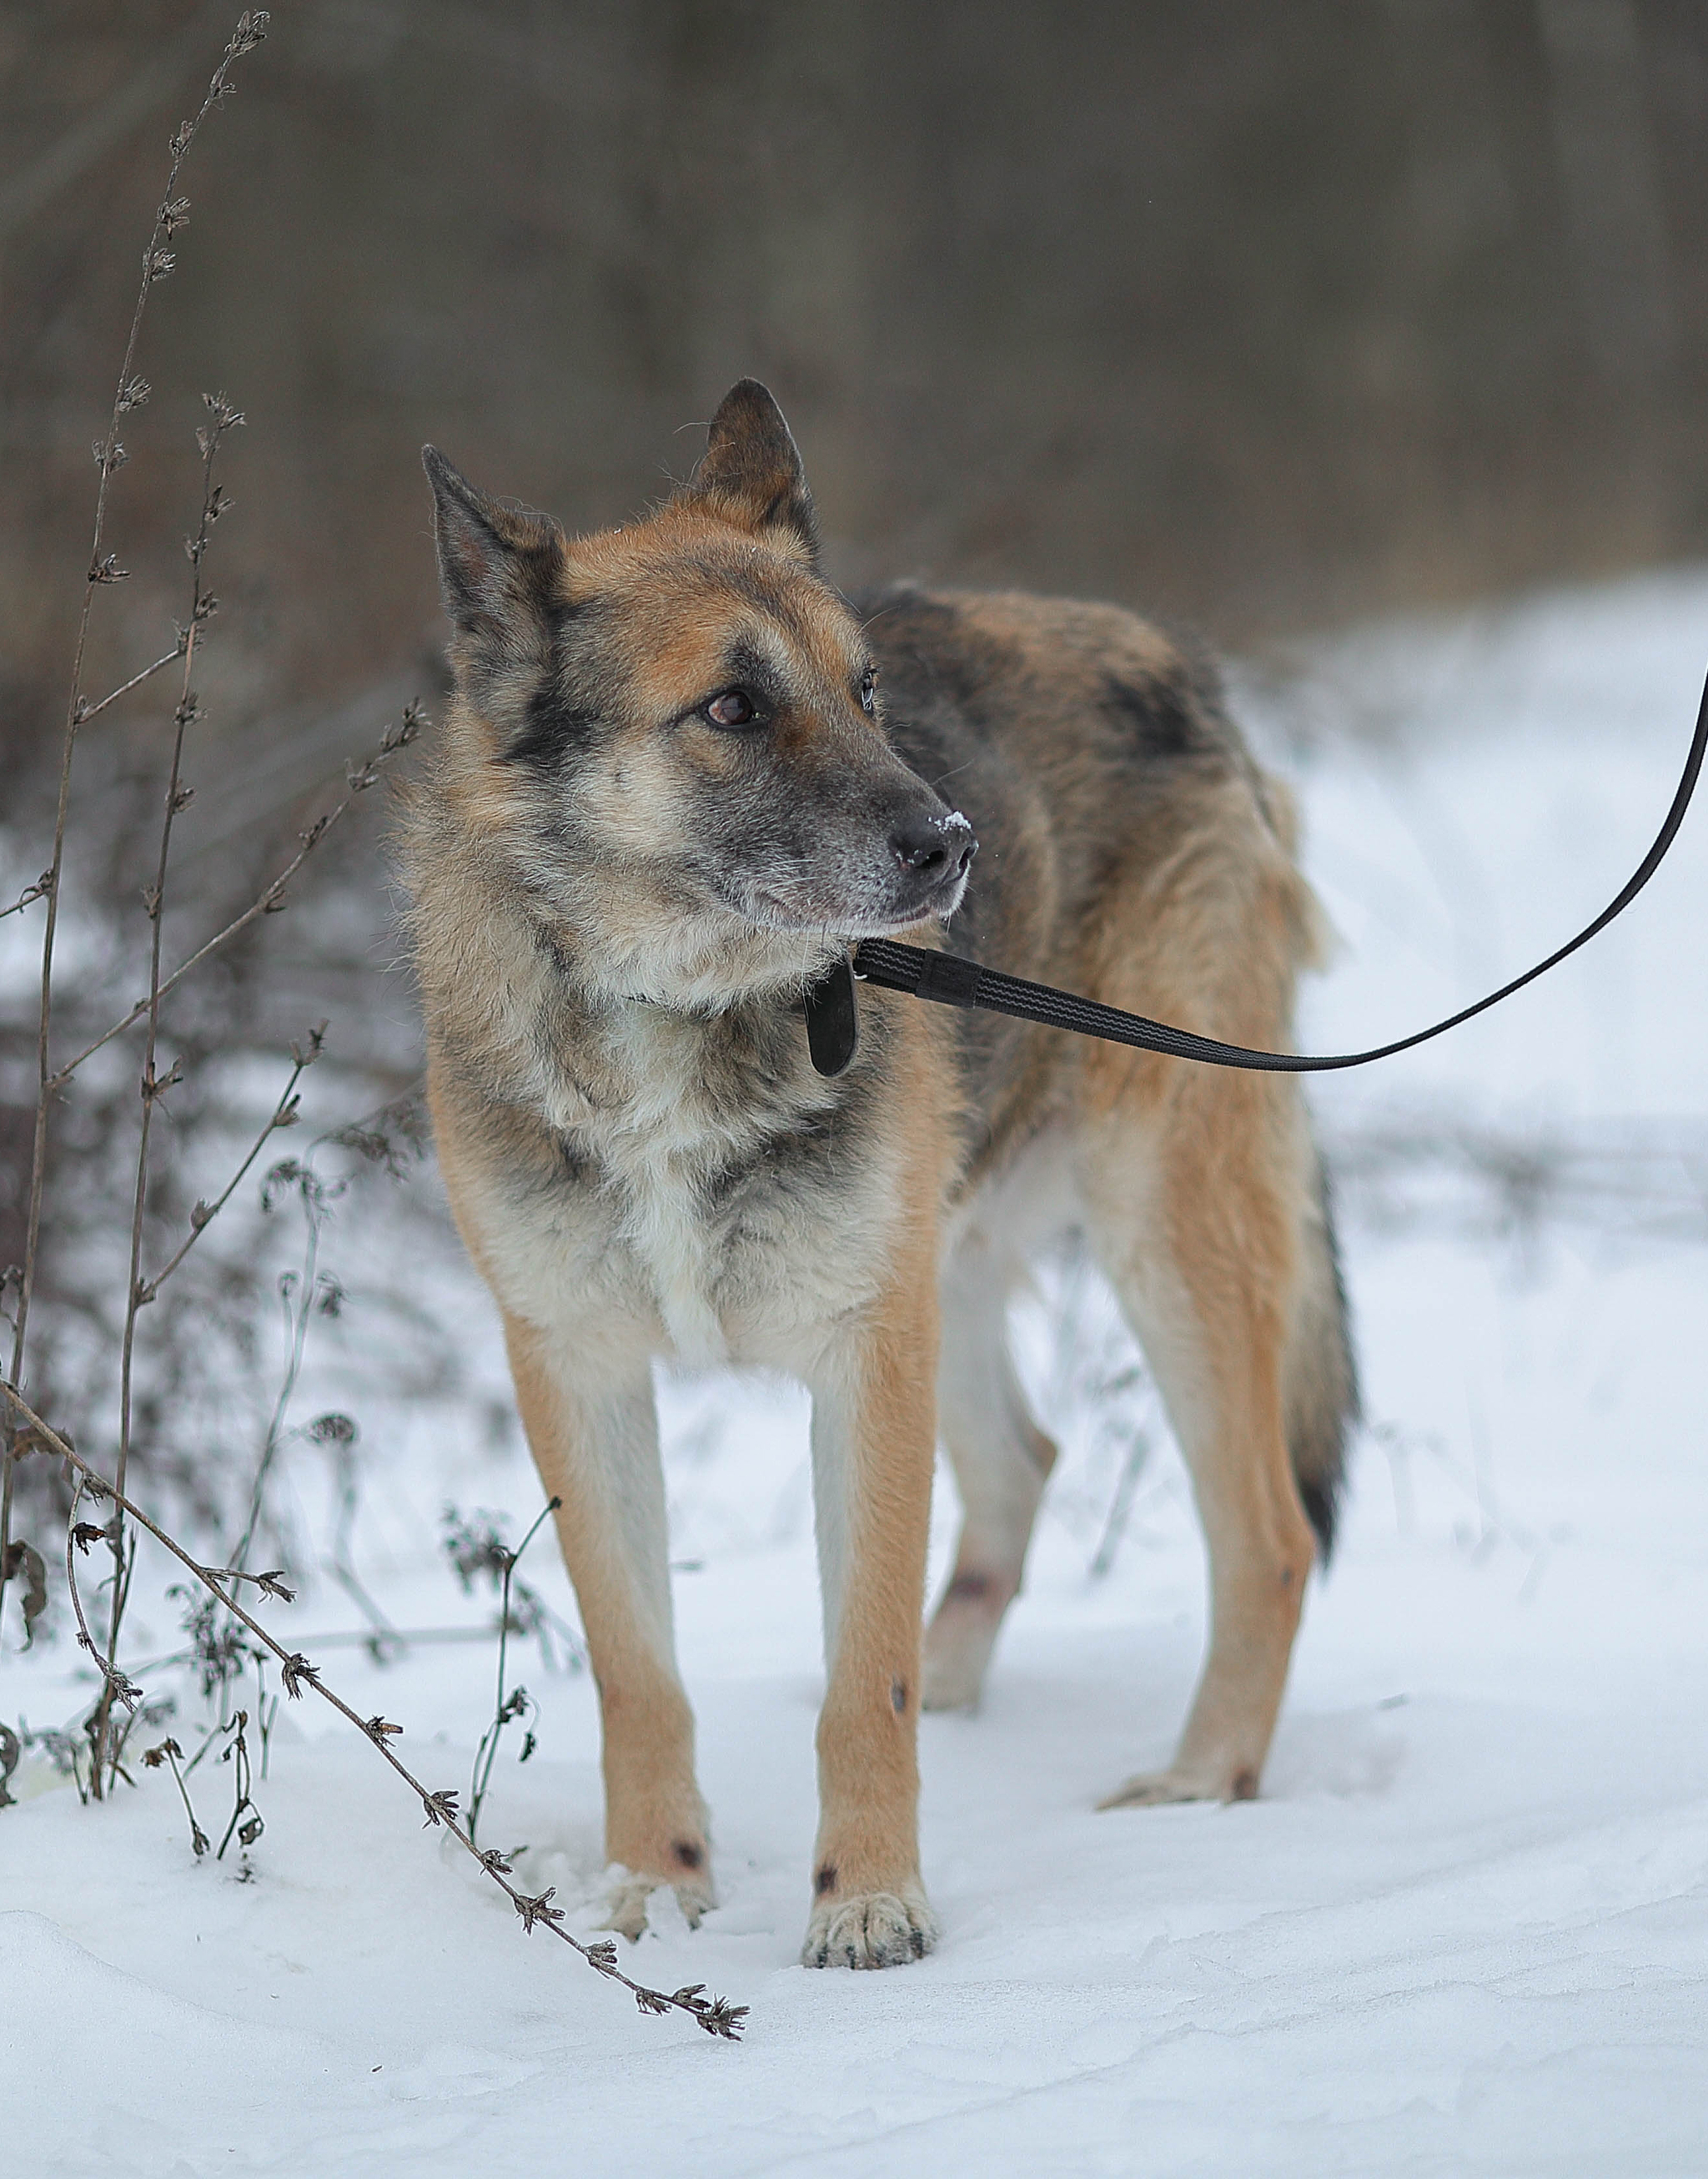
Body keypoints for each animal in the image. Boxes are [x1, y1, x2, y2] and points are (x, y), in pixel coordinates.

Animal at [407, 379, 1350, 1978]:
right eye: (730, 708)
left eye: (866, 694)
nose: (950, 846)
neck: (677, 1008)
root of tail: (1174, 658)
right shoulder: (580, 1368)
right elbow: (641, 1676)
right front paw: (654, 1891)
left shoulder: (861, 1360)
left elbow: (868, 1679)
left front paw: (867, 1900)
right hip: (949, 1269)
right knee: (1024, 1466)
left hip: (1158, 1232)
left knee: (1268, 1539)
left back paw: (1199, 1785)